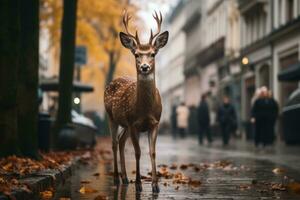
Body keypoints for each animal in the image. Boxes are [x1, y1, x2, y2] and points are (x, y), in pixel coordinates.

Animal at [103, 11, 169, 194]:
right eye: (136, 54)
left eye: (153, 54)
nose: (145, 67)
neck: (145, 110)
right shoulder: (134, 123)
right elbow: (138, 152)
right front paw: (139, 184)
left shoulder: (155, 123)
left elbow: (152, 152)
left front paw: (155, 186)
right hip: (111, 116)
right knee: (114, 143)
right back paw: (116, 178)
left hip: (124, 124)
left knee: (120, 141)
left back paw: (125, 178)